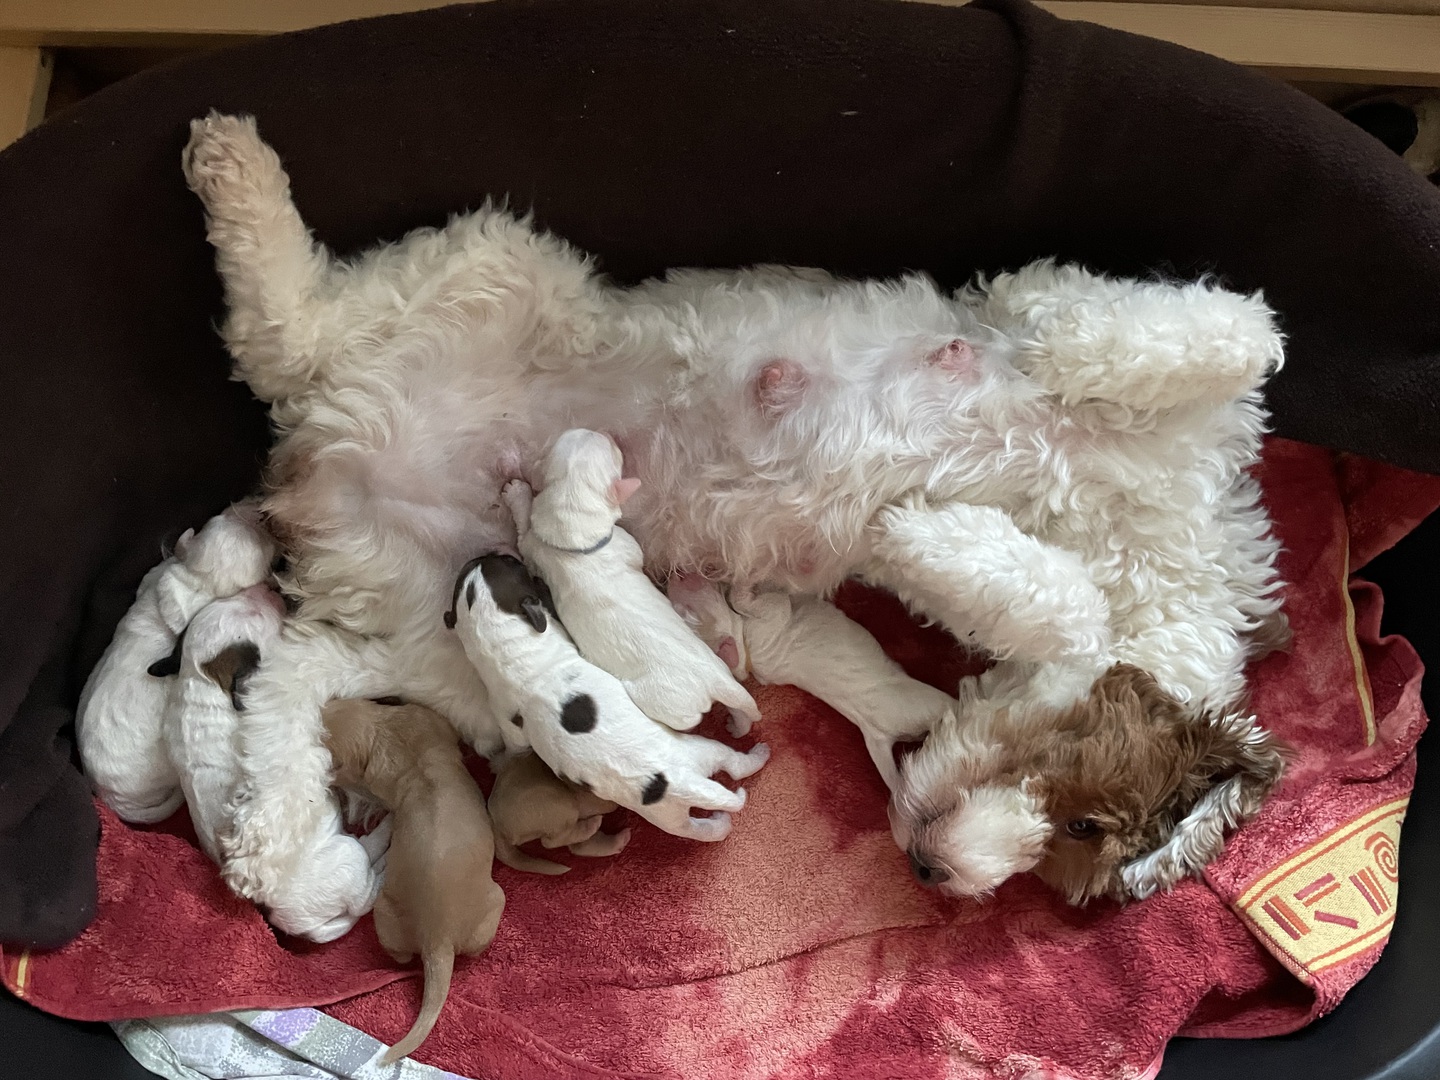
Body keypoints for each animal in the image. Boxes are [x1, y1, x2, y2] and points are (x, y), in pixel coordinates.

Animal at [77, 502, 277, 823]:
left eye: (216, 517)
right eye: (268, 547)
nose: (256, 507)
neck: (199, 582)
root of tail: (107, 798)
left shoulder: (158, 575)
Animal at [447, 553, 770, 841]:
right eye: (509, 562)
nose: (497, 551)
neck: (498, 642)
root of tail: (681, 784)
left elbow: (515, 744)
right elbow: (514, 743)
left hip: (681, 786)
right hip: (684, 783)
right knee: (724, 781)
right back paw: (748, 773)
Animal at [488, 750, 631, 875]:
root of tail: (495, 823)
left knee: (577, 845)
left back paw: (617, 840)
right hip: (561, 805)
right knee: (550, 842)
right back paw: (591, 826)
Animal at [504, 429, 760, 734]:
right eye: (615, 452)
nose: (603, 431)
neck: (580, 542)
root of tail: (716, 680)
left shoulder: (540, 547)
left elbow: (524, 530)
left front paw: (517, 493)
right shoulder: (621, 544)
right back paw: (736, 724)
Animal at [667, 575, 956, 790]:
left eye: (683, 613)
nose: (674, 576)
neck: (743, 647)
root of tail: (878, 736)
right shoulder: (769, 617)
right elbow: (762, 601)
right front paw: (743, 584)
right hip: (925, 702)